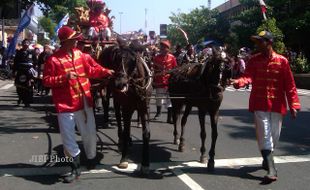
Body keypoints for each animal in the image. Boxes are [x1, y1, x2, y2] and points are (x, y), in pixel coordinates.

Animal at [98, 40, 153, 174]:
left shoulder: (144, 108)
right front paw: (124, 158)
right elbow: (127, 130)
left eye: (133, 61)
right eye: (117, 59)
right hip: (110, 91)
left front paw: (145, 163)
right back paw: (120, 137)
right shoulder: (127, 108)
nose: (120, 83)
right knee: (114, 112)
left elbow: (146, 133)